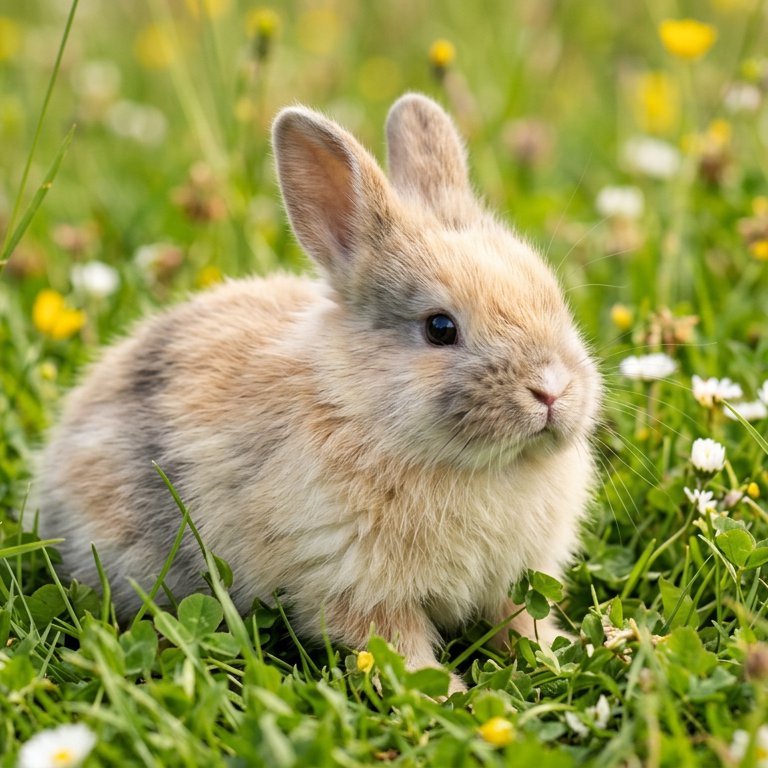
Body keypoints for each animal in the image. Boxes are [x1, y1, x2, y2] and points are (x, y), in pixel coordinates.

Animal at [38, 93, 601, 693]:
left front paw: (562, 651)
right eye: (440, 328)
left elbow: (521, 623)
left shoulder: (512, 584)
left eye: (553, 297)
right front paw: (447, 696)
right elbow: (399, 647)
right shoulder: (357, 587)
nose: (552, 390)